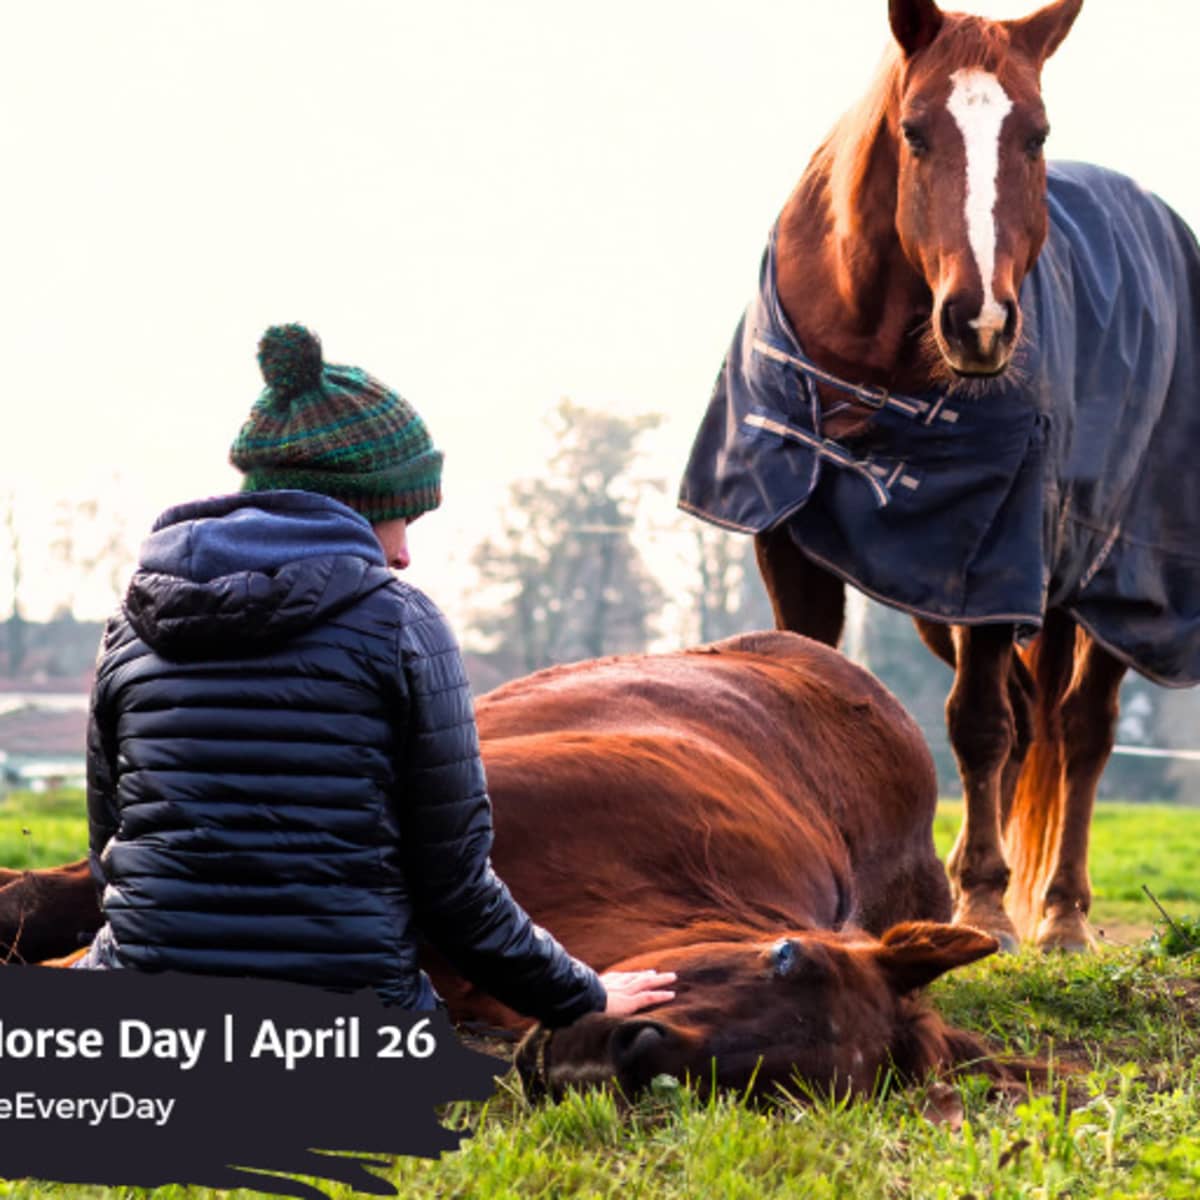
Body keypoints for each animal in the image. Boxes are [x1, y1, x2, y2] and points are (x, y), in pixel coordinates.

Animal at [681, 2, 1200, 955]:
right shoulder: (791, 538)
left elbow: (979, 724)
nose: (980, 322)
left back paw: (1060, 913)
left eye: (1036, 134)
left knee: (1080, 729)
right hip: (948, 603)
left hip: (1120, 585)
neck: (871, 368)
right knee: (1036, 716)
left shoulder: (993, 560)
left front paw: (987, 905)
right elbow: (806, 673)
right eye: (915, 132)